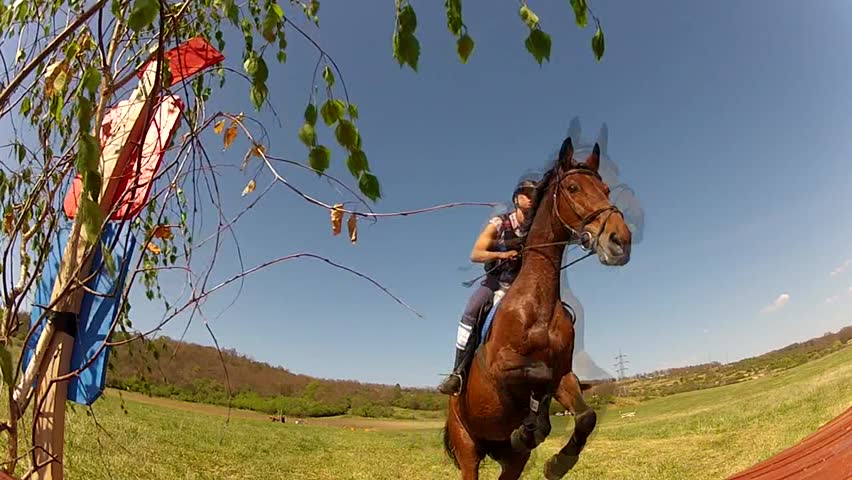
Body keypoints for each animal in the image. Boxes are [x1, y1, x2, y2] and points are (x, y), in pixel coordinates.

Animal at [442, 136, 633, 479]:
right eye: (573, 188)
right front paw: (533, 425)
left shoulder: (564, 374)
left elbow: (585, 415)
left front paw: (558, 461)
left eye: (606, 189)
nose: (620, 240)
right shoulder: (500, 369)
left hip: (511, 461)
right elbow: (537, 375)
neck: (536, 303)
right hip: (467, 449)